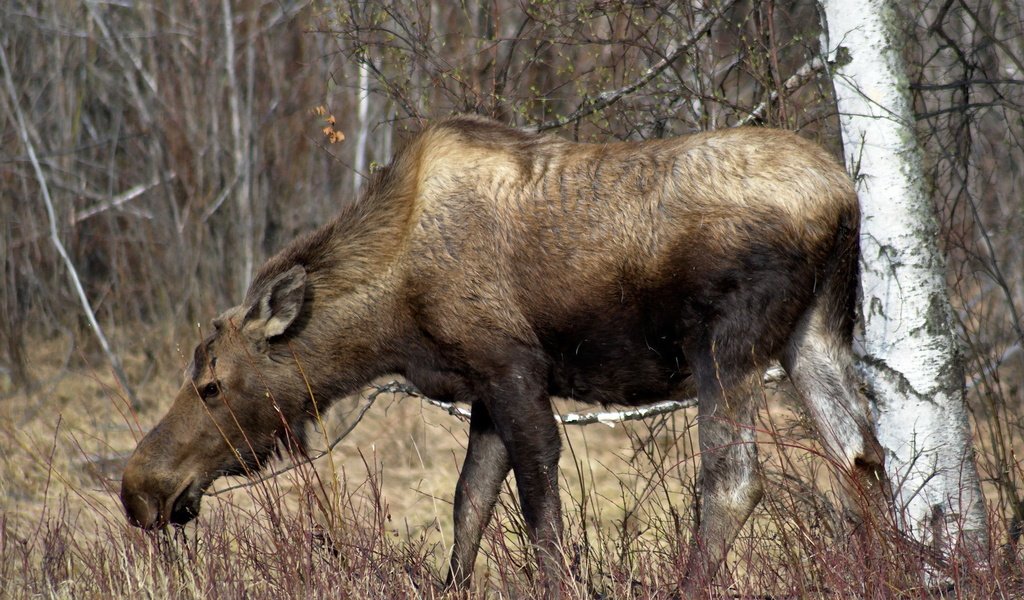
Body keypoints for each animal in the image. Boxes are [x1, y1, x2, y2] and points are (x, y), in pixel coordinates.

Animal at [119, 114, 888, 589]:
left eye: (213, 384)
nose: (140, 489)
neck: (389, 317)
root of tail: (843, 200)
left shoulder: (514, 368)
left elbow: (538, 513)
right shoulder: (483, 386)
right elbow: (470, 506)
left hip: (727, 345)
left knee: (734, 481)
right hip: (814, 332)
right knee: (862, 456)